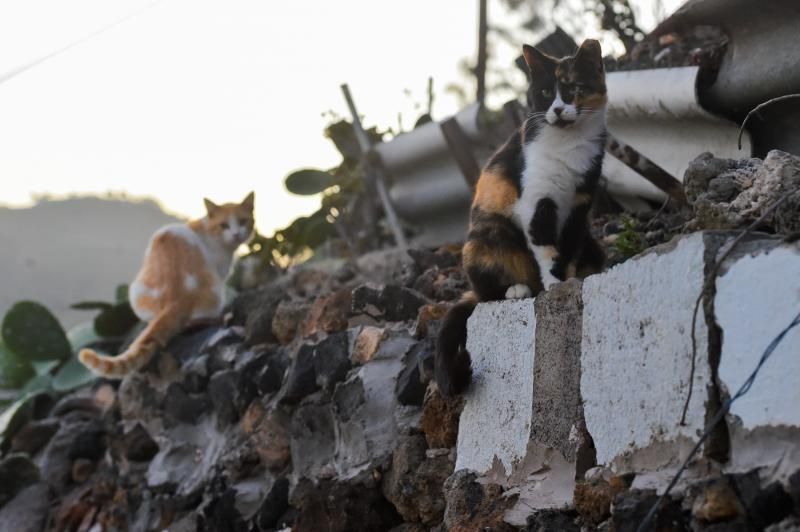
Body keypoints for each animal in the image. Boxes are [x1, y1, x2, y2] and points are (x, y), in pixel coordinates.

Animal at [79, 191, 255, 378]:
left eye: (243, 221)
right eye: (224, 225)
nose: (236, 234)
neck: (207, 229)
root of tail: (173, 299)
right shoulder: (220, 271)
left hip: (136, 291)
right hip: (215, 291)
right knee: (193, 321)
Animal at [438, 40, 608, 394]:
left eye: (573, 88)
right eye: (544, 92)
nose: (556, 110)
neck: (568, 144)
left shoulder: (580, 206)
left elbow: (568, 250)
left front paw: (568, 280)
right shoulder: (536, 202)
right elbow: (546, 249)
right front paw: (555, 285)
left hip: (592, 243)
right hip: (485, 237)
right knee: (486, 294)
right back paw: (516, 289)